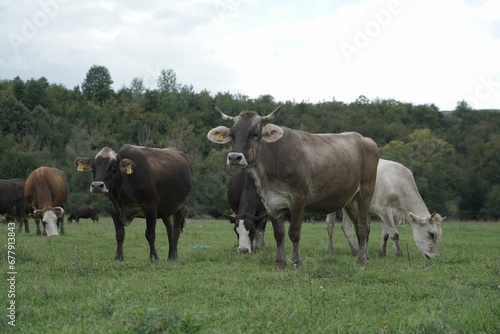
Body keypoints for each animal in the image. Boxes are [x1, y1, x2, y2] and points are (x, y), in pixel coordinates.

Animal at [207, 108, 378, 270]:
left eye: (255, 133)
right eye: (232, 134)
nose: (234, 157)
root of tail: (364, 139)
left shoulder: (298, 200)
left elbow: (294, 233)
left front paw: (296, 263)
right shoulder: (271, 203)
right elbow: (279, 234)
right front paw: (279, 263)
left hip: (365, 193)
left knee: (364, 226)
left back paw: (361, 260)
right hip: (350, 199)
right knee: (358, 225)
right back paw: (365, 256)